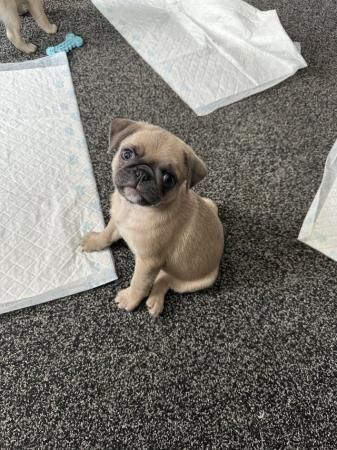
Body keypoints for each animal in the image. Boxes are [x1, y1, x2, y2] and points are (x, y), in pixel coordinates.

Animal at [80, 119, 223, 316]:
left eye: (169, 179)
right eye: (127, 154)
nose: (142, 173)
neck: (134, 209)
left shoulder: (148, 262)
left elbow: (139, 283)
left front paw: (129, 299)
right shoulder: (117, 221)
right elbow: (107, 234)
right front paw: (94, 241)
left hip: (195, 281)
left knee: (165, 281)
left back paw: (155, 302)